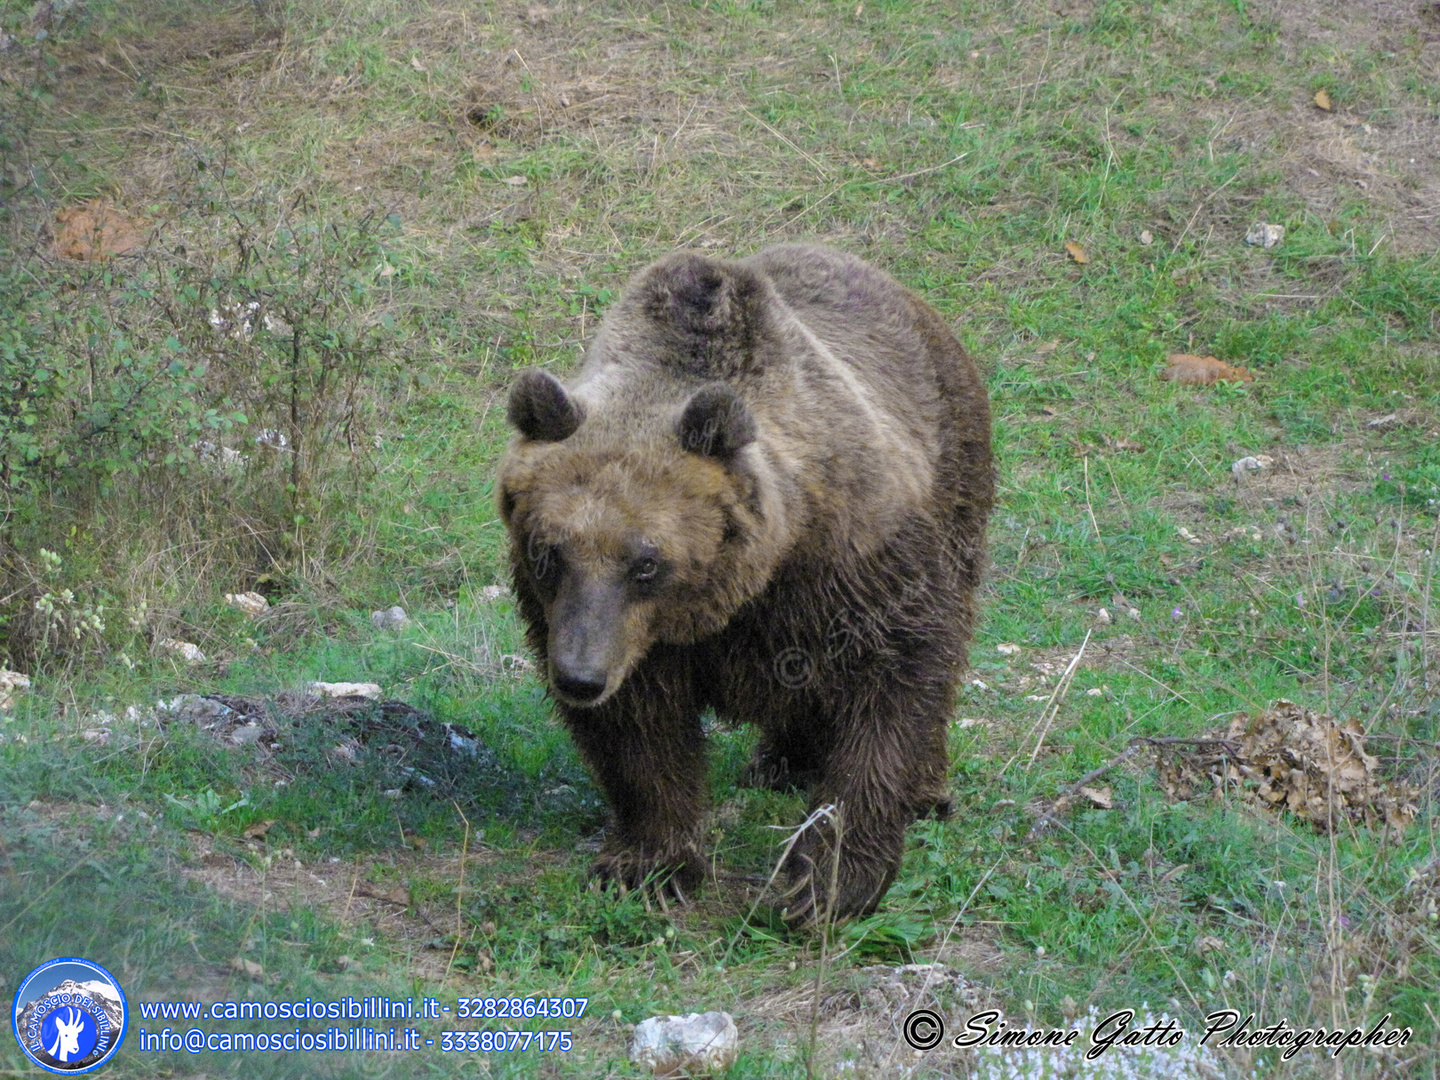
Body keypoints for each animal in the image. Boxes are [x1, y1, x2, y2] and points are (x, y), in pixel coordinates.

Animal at [498, 244, 990, 933]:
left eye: (645, 562)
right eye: (549, 551)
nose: (580, 677)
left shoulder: (854, 563)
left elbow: (895, 685)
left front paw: (827, 879)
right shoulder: (618, 635)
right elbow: (640, 734)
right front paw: (647, 864)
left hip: (956, 470)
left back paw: (920, 788)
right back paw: (782, 759)